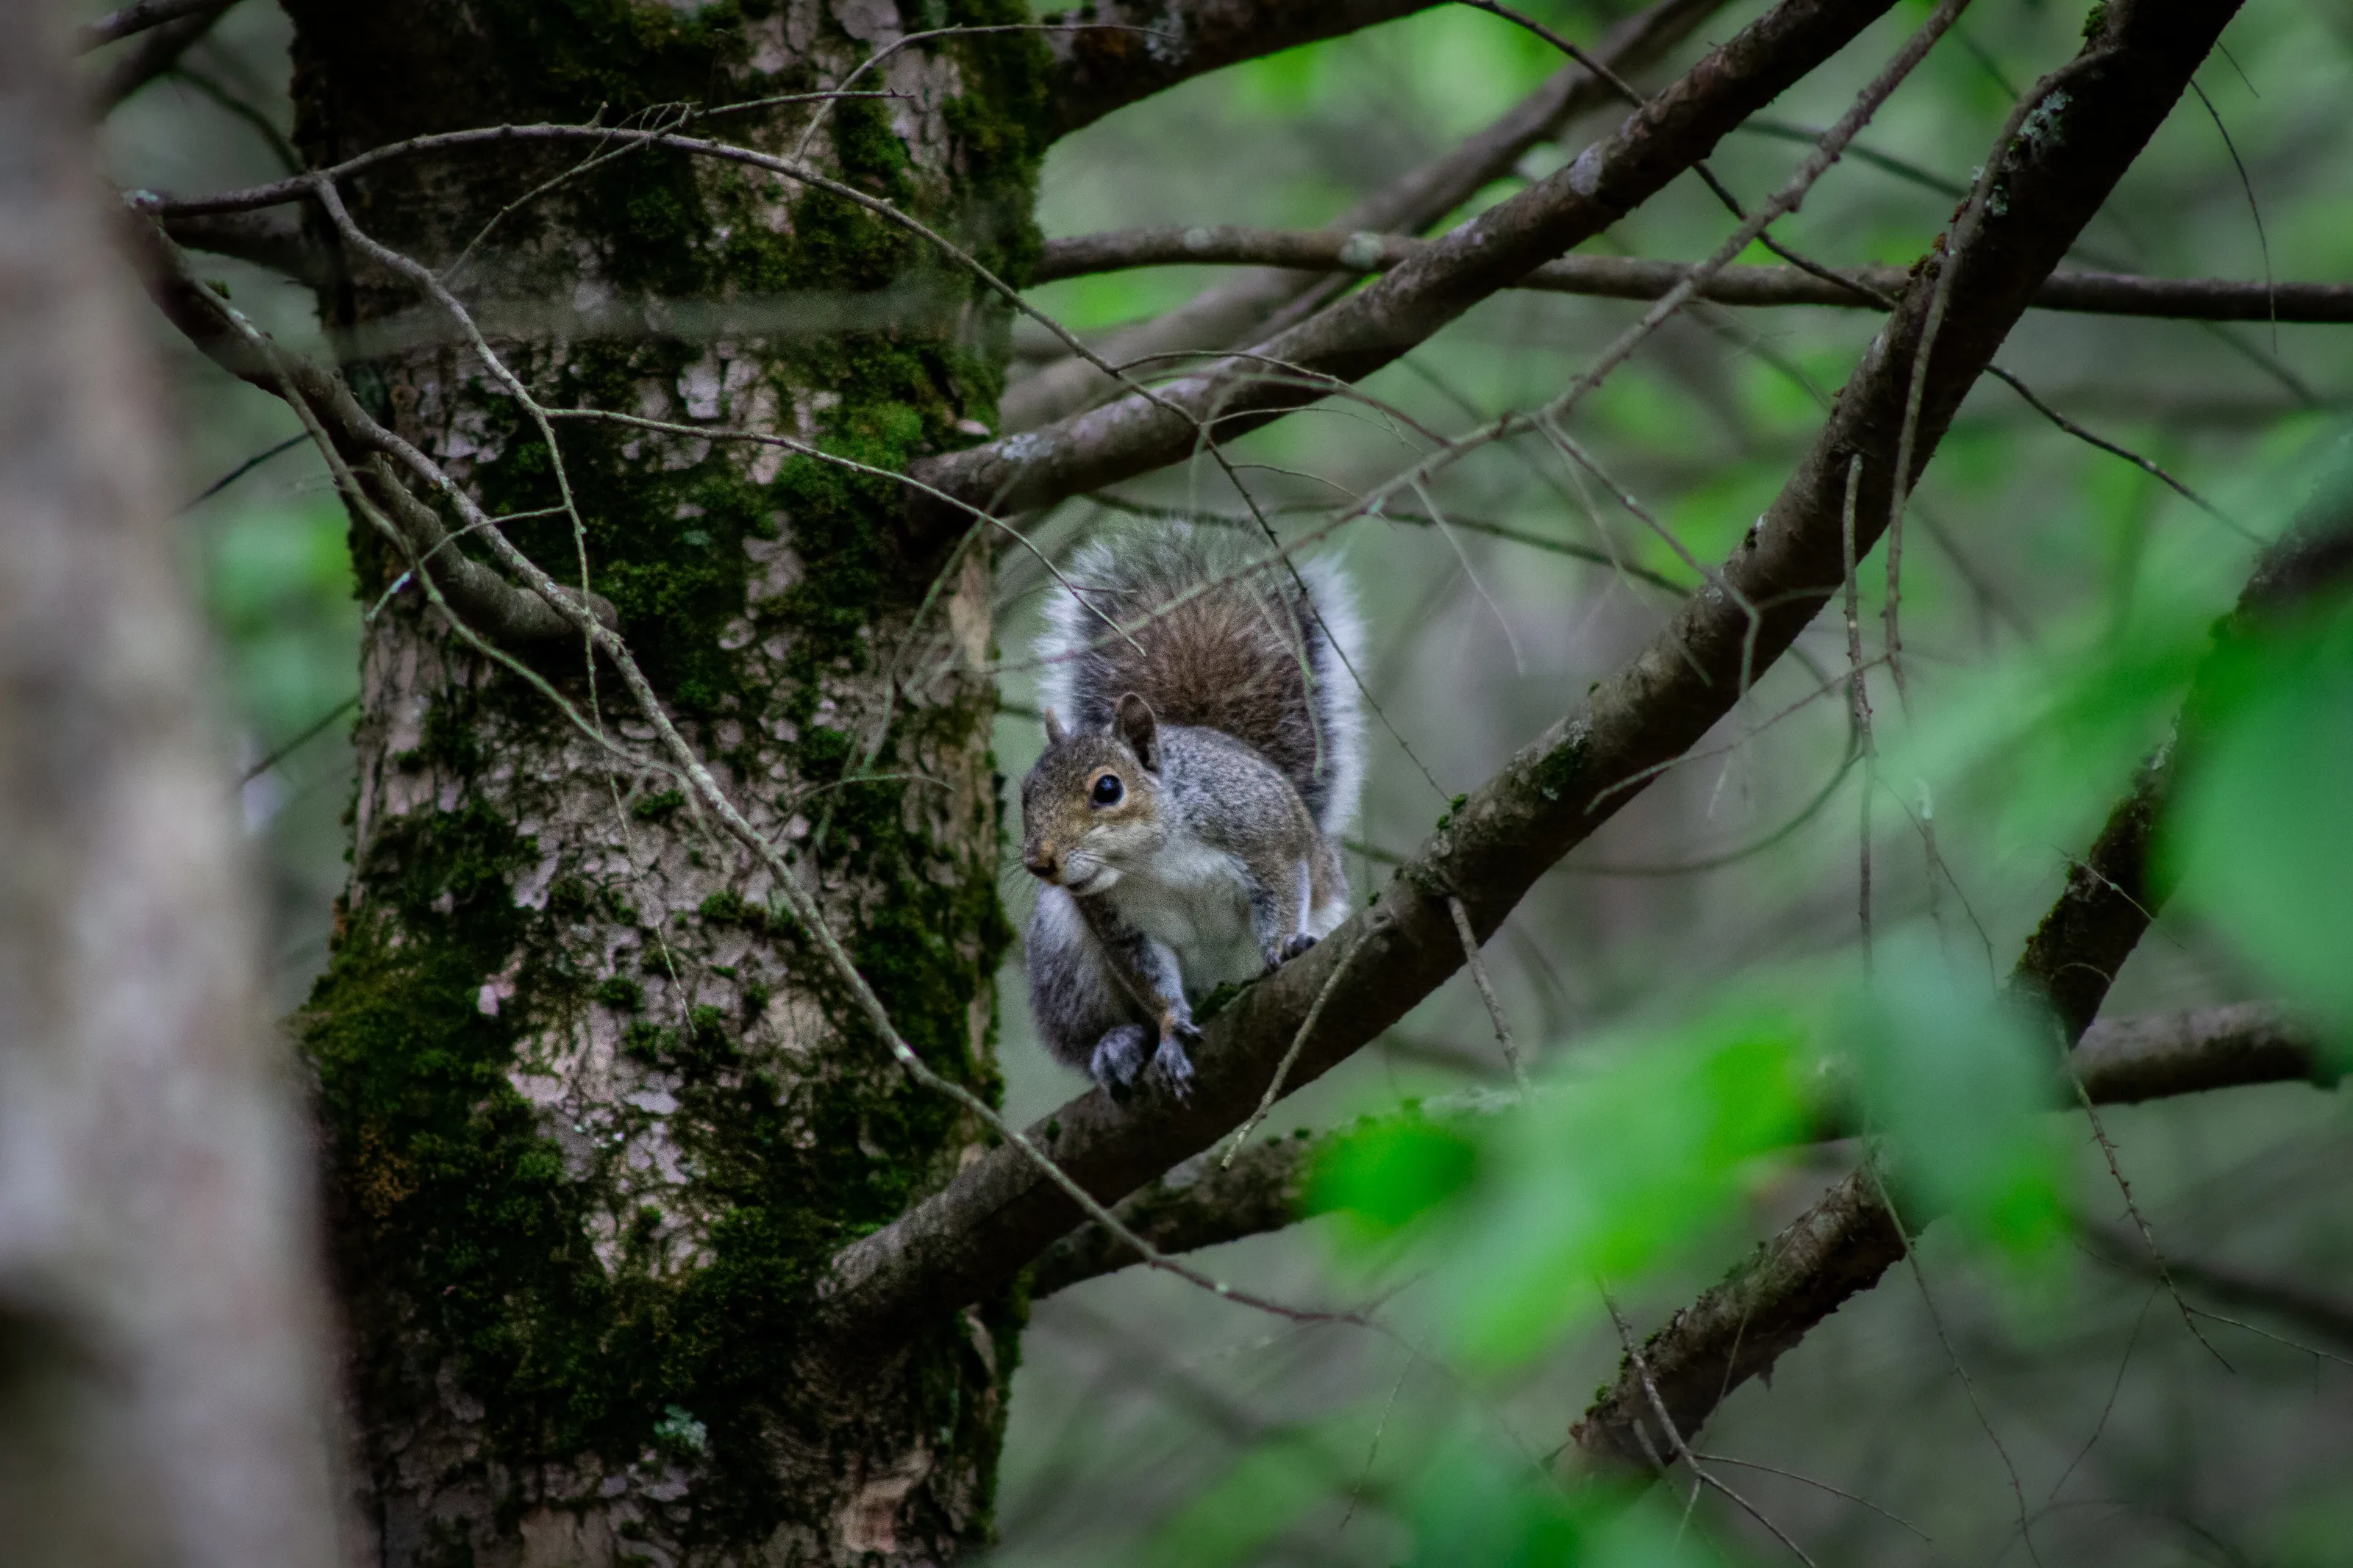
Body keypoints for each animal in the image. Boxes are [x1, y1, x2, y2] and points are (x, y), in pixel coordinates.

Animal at [1019, 522, 1365, 1096]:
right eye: (1025, 792)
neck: (1151, 857)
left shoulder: (1264, 835)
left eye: (1108, 789)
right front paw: (1168, 1030)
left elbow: (1283, 889)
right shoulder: (1116, 922)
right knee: (1085, 1031)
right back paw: (1116, 1044)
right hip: (1064, 957)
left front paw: (1285, 946)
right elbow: (1151, 980)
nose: (1038, 861)